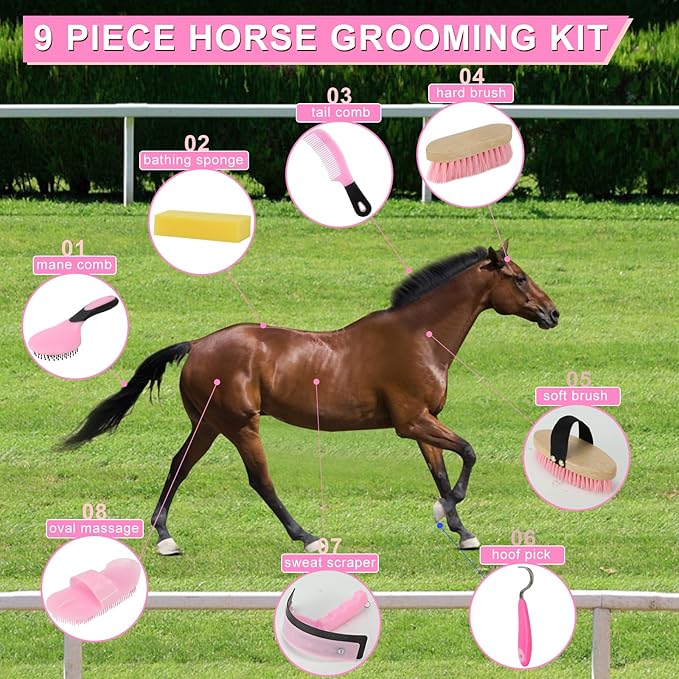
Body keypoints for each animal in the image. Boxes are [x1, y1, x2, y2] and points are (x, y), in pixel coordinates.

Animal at [63, 241, 559, 555]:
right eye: (519, 279)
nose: (553, 313)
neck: (419, 337)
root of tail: (198, 345)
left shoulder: (424, 420)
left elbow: (440, 470)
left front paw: (461, 530)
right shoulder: (411, 421)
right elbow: (469, 453)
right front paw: (450, 508)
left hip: (210, 423)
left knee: (179, 465)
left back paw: (166, 536)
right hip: (239, 423)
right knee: (259, 480)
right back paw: (307, 536)